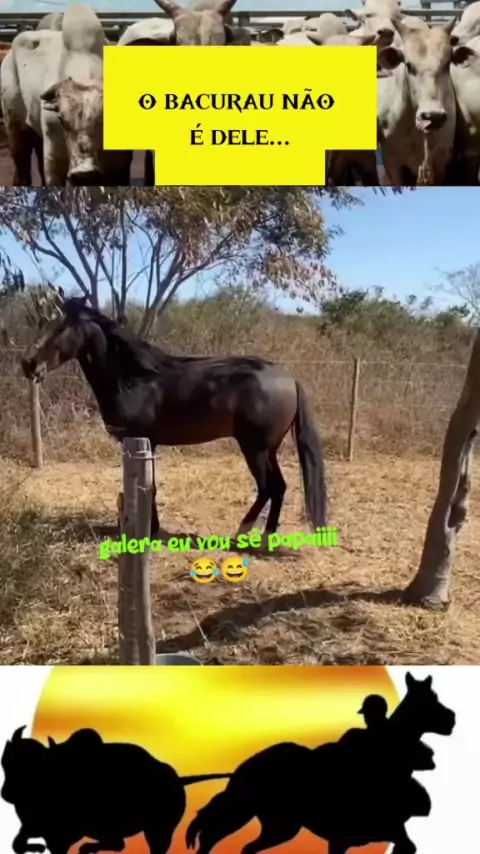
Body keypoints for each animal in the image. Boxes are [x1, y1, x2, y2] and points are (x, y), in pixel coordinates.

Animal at [0, 4, 132, 187]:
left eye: (105, 119)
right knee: (22, 170)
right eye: (62, 119)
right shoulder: (54, 161)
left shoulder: (120, 165)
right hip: (15, 125)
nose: (84, 172)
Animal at [21, 297, 327, 540]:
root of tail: (289, 379)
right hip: (269, 449)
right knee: (280, 487)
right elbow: (149, 487)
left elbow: (149, 488)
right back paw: (266, 535)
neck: (133, 379)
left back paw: (245, 533)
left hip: (256, 448)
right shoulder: (146, 444)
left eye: (62, 327)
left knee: (268, 487)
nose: (29, 364)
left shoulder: (141, 441)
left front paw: (148, 529)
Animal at [185, 672, 455, 854]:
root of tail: (245, 768)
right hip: (270, 822)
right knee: (216, 835)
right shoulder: (345, 838)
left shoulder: (376, 835)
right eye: (430, 700)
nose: (452, 719)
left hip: (271, 822)